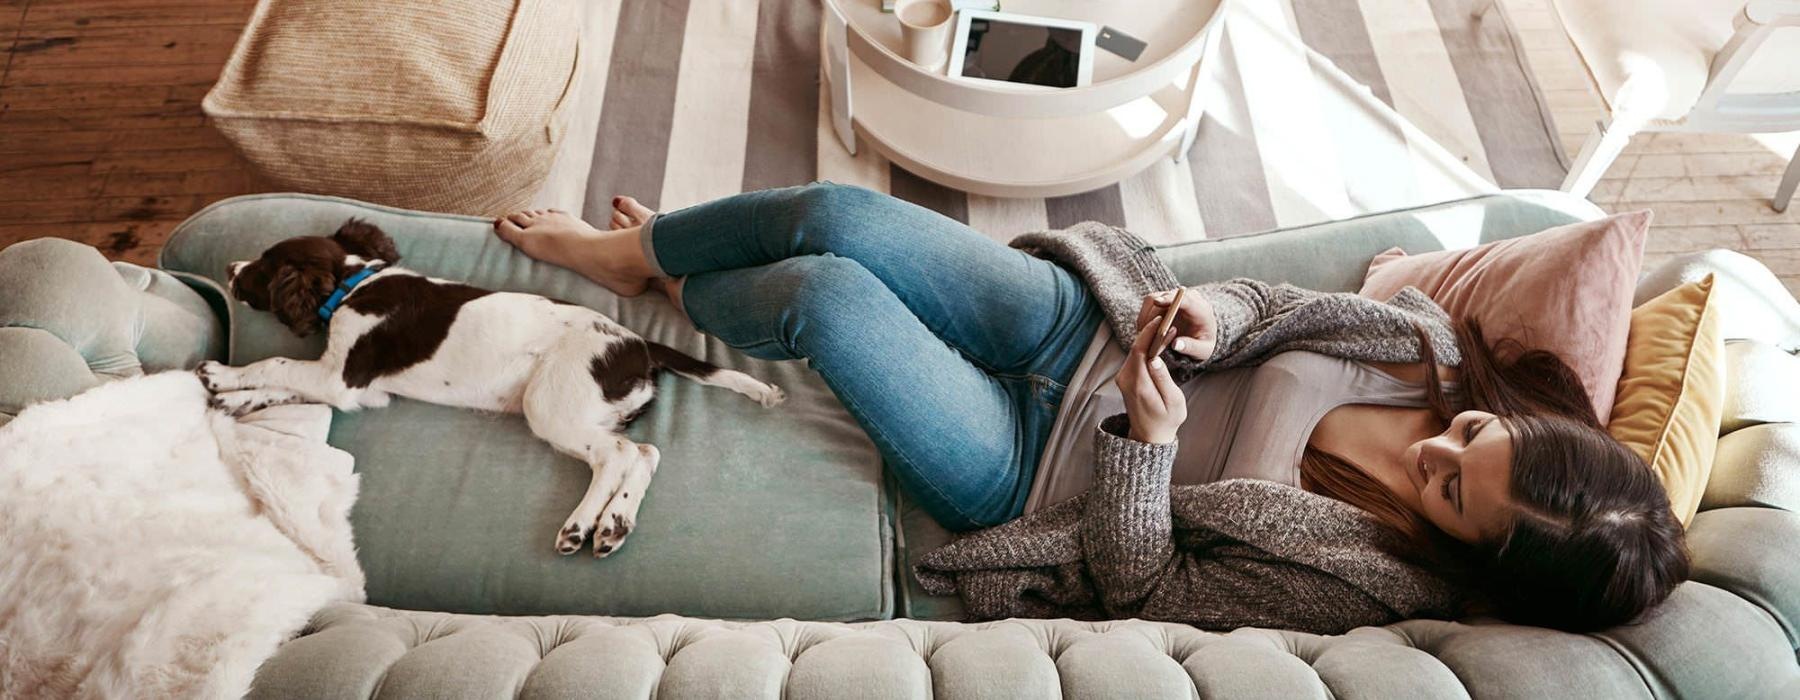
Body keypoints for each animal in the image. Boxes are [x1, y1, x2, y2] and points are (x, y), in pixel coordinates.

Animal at [200, 217, 784, 557]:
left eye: (262, 269)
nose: (228, 265)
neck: (353, 283)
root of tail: (638, 343)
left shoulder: (342, 377)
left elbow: (279, 362)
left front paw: (224, 376)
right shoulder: (357, 387)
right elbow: (285, 385)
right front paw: (235, 398)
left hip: (550, 404)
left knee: (616, 455)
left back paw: (581, 526)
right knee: (644, 453)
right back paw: (613, 523)